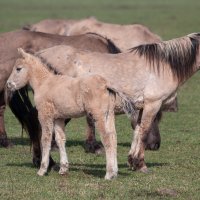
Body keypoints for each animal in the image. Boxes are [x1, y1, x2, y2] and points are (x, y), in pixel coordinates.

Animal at [6, 48, 136, 180]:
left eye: (18, 68)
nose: (9, 84)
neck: (44, 83)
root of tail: (106, 84)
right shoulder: (58, 118)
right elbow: (60, 139)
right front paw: (63, 168)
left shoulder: (45, 115)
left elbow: (46, 139)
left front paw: (42, 170)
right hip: (109, 114)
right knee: (113, 138)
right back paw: (115, 172)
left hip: (98, 115)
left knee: (107, 139)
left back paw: (109, 173)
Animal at [34, 32, 200, 172]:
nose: (156, 145)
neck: (163, 66)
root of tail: (40, 55)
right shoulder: (152, 104)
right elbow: (144, 132)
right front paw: (141, 164)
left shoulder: (140, 107)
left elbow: (137, 131)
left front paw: (132, 161)